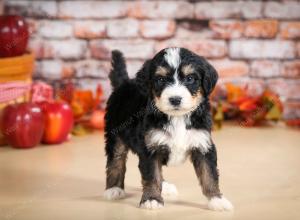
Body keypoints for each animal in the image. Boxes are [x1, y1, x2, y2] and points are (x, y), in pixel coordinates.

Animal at [103, 47, 234, 211]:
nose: (175, 99)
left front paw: (217, 200)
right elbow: (152, 175)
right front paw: (152, 199)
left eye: (190, 79)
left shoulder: (203, 144)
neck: (177, 118)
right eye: (160, 80)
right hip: (115, 135)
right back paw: (114, 189)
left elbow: (209, 174)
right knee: (116, 160)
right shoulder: (150, 148)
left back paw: (165, 187)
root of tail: (123, 84)